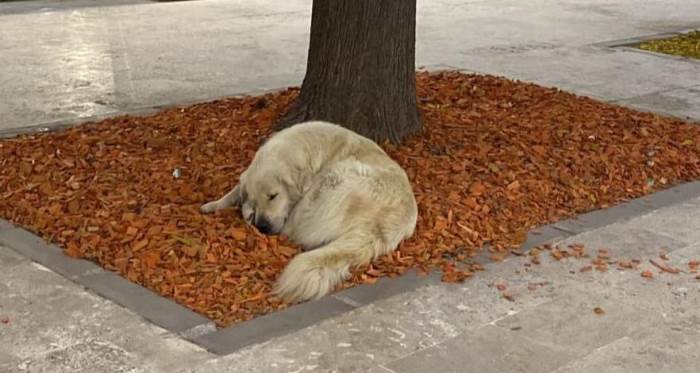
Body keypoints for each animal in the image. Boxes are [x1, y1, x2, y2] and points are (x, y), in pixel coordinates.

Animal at [200, 120, 418, 304]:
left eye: (273, 196)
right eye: (256, 200)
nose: (262, 226)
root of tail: (382, 223)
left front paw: (244, 210)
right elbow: (236, 190)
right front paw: (214, 204)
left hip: (334, 178)